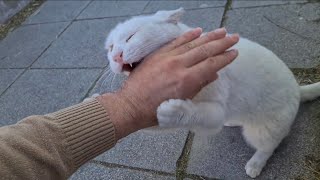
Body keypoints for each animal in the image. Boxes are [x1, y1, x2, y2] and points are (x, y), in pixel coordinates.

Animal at [97, 27, 240, 139]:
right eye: (111, 48)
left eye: (131, 36)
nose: (117, 57)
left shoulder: (217, 109)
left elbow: (206, 114)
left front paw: (175, 111)